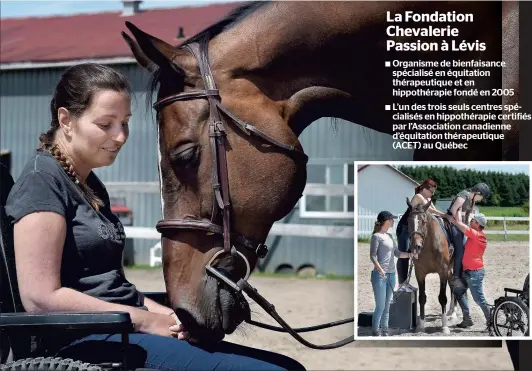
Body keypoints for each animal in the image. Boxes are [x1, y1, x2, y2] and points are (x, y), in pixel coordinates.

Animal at [408, 199, 454, 336]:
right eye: (408, 221)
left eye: (423, 221)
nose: (415, 246)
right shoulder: (419, 273)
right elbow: (422, 298)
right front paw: (421, 326)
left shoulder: (443, 271)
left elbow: (442, 298)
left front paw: (445, 327)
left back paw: (453, 314)